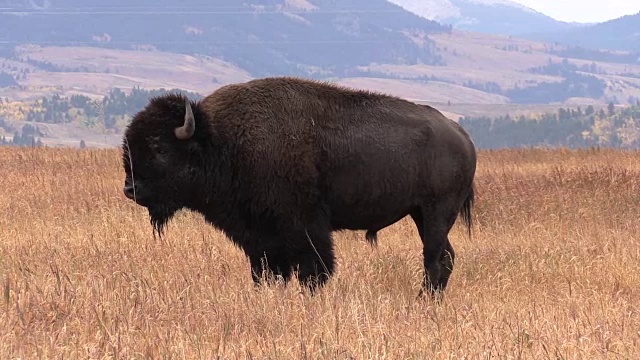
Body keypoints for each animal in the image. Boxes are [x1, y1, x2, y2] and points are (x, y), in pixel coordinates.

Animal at [122, 76, 478, 298]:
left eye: (159, 147)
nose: (131, 189)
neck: (221, 140)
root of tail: (462, 136)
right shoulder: (260, 236)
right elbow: (267, 271)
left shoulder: (306, 226)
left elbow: (314, 269)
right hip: (421, 214)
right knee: (444, 257)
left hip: (436, 213)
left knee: (436, 258)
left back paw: (423, 302)